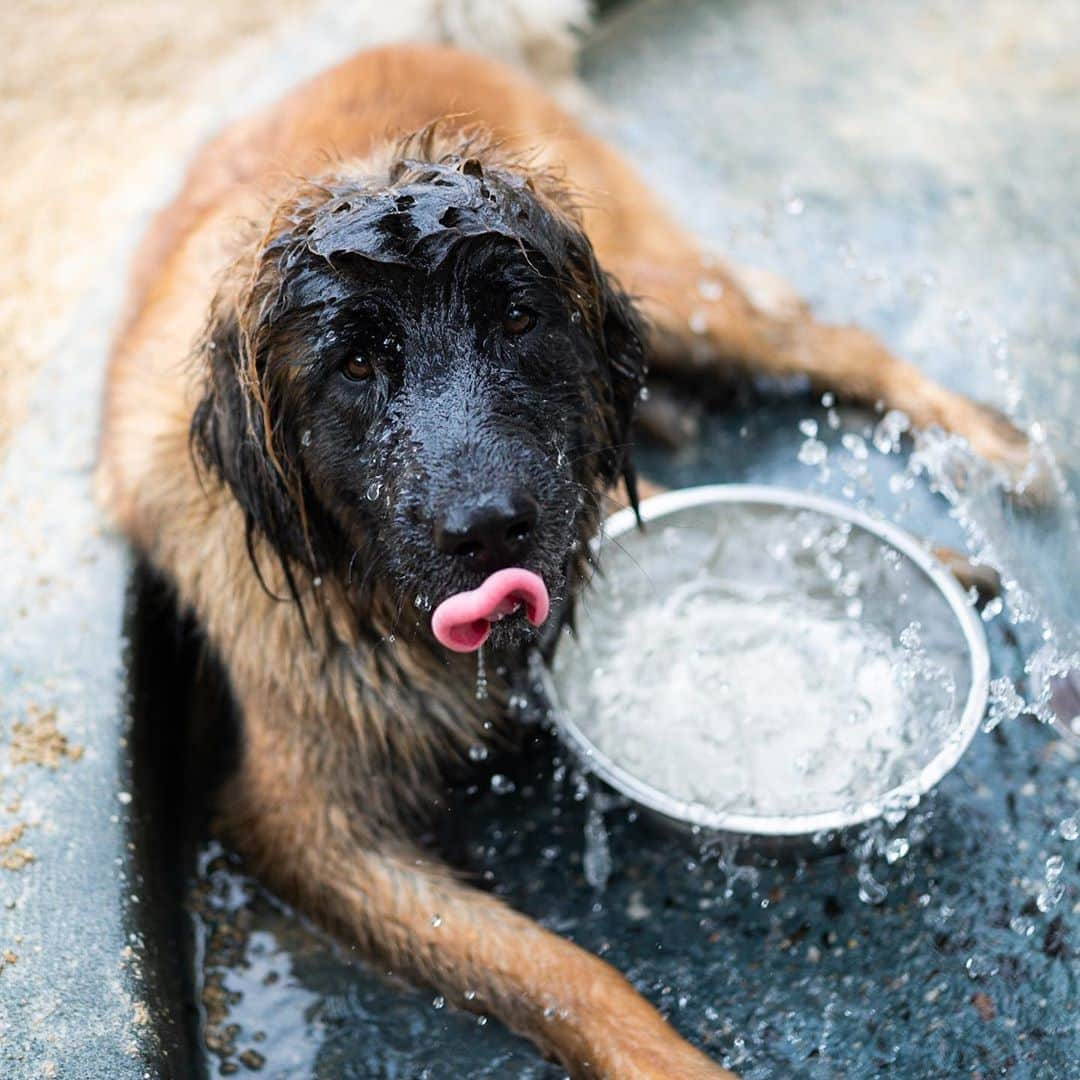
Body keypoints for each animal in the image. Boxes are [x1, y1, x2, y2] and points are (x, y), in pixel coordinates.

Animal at [99, 44, 1036, 1080]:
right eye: (354, 366)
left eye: (517, 321)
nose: (489, 531)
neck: (369, 593)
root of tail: (394, 42)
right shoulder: (309, 827)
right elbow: (556, 967)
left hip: (671, 293)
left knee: (822, 340)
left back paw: (991, 445)